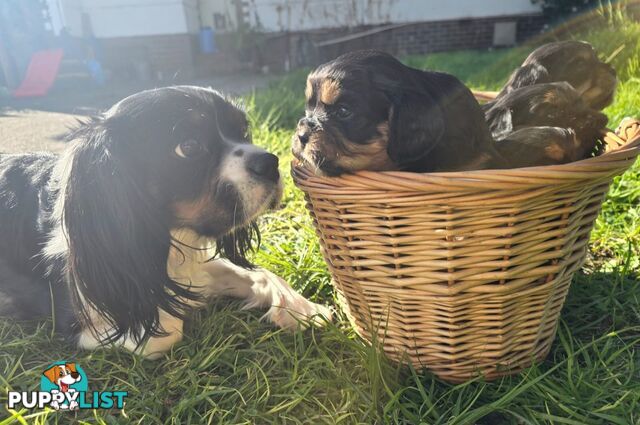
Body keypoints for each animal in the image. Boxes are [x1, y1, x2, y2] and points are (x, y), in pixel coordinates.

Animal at [0, 86, 330, 358]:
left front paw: (301, 308)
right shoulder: (81, 318)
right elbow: (165, 331)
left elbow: (258, 274)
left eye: (244, 131)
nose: (271, 162)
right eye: (189, 147)